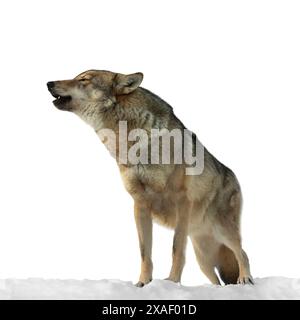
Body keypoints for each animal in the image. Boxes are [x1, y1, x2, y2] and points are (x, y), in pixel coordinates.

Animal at [47, 71, 253, 286]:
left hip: (224, 232)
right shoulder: (140, 205)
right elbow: (145, 252)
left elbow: (176, 248)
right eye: (77, 77)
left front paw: (172, 281)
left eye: (84, 79)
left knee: (243, 254)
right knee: (218, 279)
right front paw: (143, 283)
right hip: (202, 257)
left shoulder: (182, 201)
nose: (48, 83)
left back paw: (245, 278)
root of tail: (234, 176)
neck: (132, 144)